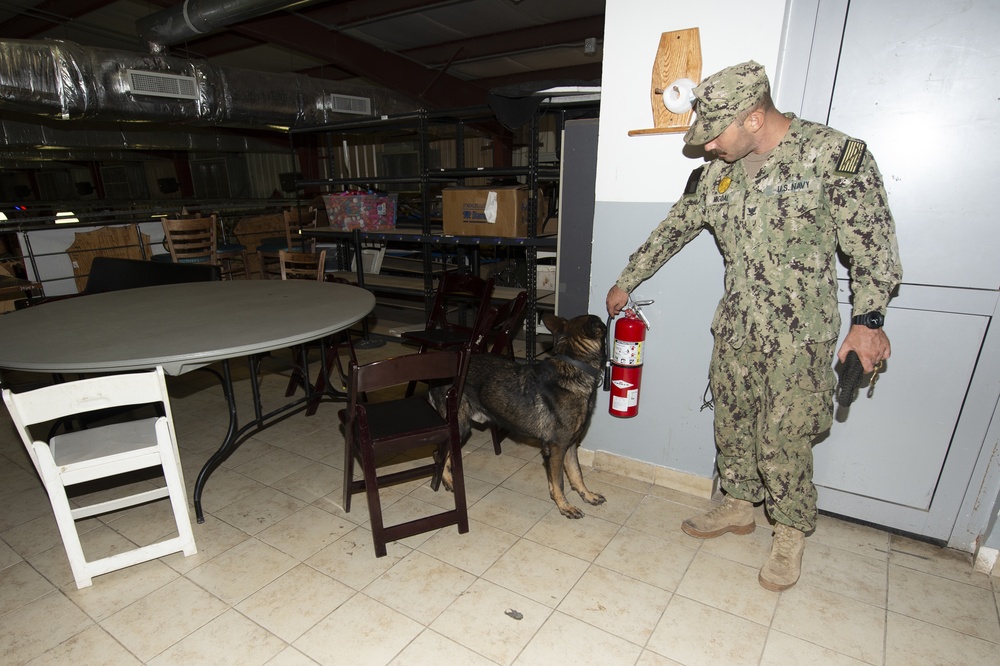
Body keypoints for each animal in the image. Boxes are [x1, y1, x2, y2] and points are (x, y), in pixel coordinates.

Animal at [432, 314, 604, 516]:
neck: (573, 367)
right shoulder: (557, 448)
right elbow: (560, 481)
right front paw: (565, 506)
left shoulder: (569, 446)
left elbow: (577, 474)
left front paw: (587, 496)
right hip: (459, 427)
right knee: (438, 454)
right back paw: (447, 480)